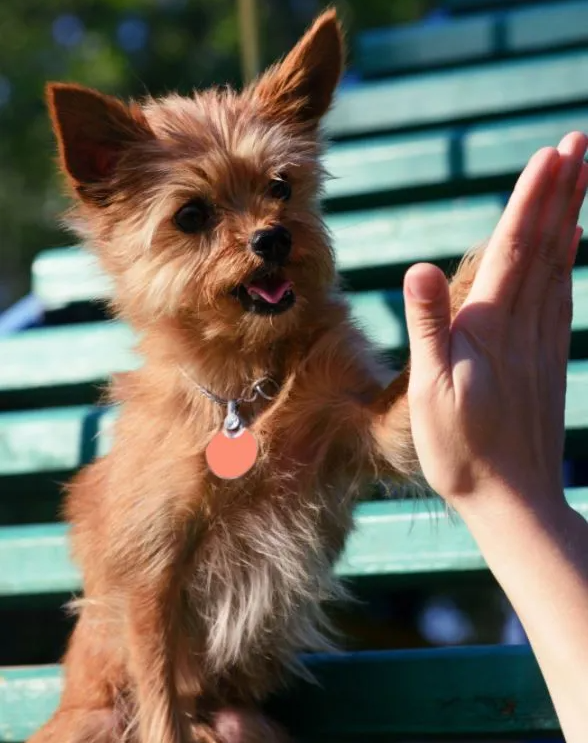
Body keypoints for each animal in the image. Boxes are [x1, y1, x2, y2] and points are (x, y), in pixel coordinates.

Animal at [34, 8, 478, 743]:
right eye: (192, 215)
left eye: (281, 187)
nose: (273, 237)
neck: (244, 392)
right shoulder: (151, 578)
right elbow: (162, 704)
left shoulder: (363, 429)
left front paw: (477, 269)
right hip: (92, 719)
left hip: (247, 722)